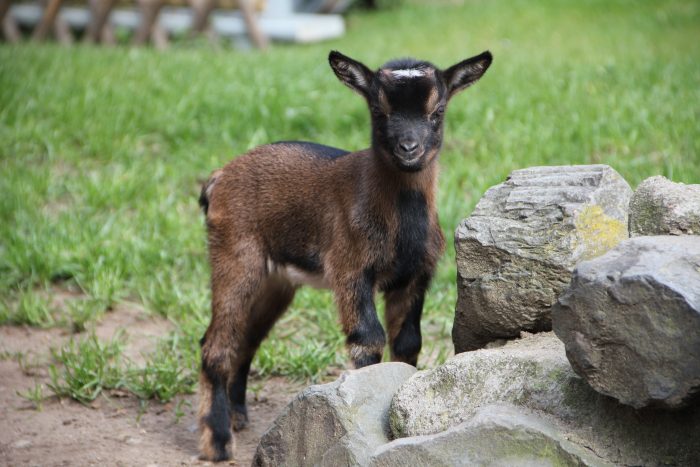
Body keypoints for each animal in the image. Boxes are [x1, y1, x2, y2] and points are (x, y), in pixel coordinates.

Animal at [197, 48, 492, 460]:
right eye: (379, 110)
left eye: (438, 111)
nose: (409, 149)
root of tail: (217, 178)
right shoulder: (351, 270)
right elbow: (368, 338)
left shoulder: (415, 276)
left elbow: (408, 341)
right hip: (235, 254)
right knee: (217, 343)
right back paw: (219, 443)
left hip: (276, 279)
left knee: (247, 337)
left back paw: (239, 416)